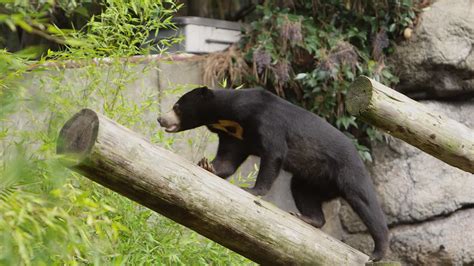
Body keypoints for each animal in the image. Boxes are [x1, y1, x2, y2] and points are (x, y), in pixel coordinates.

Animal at [157, 86, 386, 260]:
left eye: (176, 106)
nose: (160, 119)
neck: (228, 118)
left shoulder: (267, 122)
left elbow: (273, 153)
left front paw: (251, 189)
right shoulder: (236, 136)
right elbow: (227, 160)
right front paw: (206, 165)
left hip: (348, 171)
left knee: (365, 203)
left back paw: (378, 251)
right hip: (314, 179)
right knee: (301, 191)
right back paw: (308, 218)